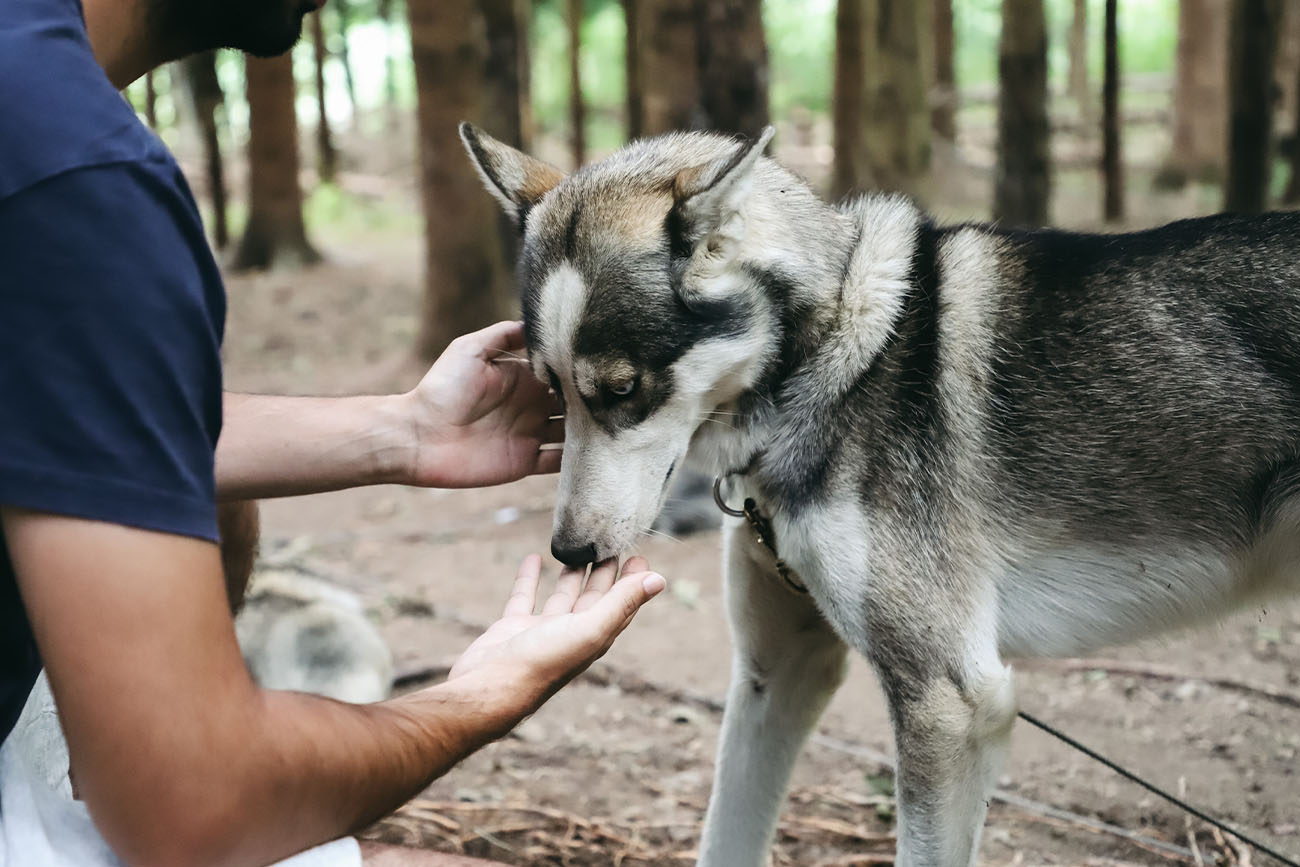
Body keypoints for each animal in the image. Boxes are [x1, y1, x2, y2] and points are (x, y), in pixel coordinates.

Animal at [457, 122, 1300, 867]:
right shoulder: (775, 673)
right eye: (552, 392)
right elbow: (725, 836)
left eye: (623, 389)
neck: (834, 359)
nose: (571, 551)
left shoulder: (953, 704)